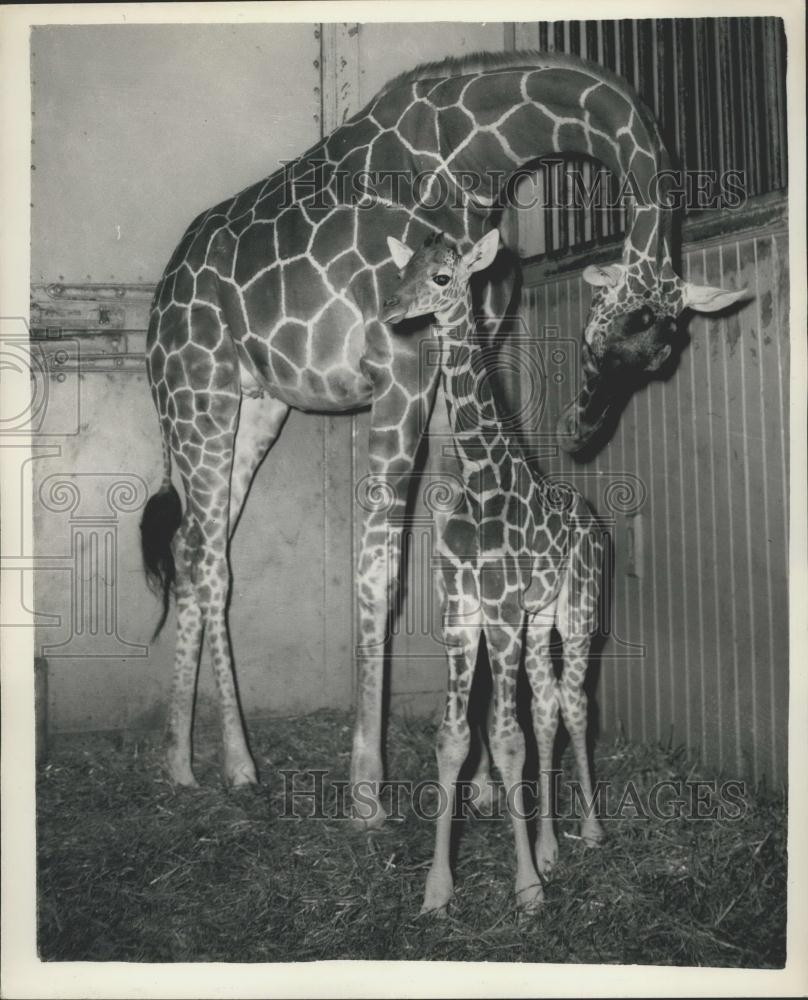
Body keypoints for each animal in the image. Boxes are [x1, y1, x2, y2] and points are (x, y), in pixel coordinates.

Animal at [142, 50, 748, 824]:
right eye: (600, 336)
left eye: (660, 360)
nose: (578, 433)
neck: (475, 157)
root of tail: (163, 293)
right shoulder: (400, 371)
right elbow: (381, 569)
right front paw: (366, 790)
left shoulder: (455, 367)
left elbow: (462, 556)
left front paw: (484, 782)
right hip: (197, 394)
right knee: (207, 558)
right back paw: (221, 763)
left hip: (257, 407)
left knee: (201, 550)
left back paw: (196, 762)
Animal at [382, 229, 604, 916]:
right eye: (403, 268)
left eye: (443, 276)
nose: (390, 308)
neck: (479, 482)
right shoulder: (463, 611)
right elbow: (456, 738)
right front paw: (438, 889)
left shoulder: (501, 610)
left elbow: (506, 740)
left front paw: (527, 887)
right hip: (538, 623)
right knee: (549, 707)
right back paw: (553, 846)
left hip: (579, 617)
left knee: (576, 705)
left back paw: (591, 831)